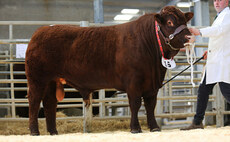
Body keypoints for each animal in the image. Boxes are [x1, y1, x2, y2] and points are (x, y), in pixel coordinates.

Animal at [25, 5, 193, 135]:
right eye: (170, 22)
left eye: (185, 21)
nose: (190, 37)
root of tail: (41, 31)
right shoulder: (133, 82)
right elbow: (135, 104)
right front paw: (135, 128)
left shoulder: (152, 85)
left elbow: (150, 106)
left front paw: (155, 128)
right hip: (37, 79)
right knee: (34, 101)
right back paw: (34, 131)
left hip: (52, 81)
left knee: (49, 103)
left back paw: (53, 132)